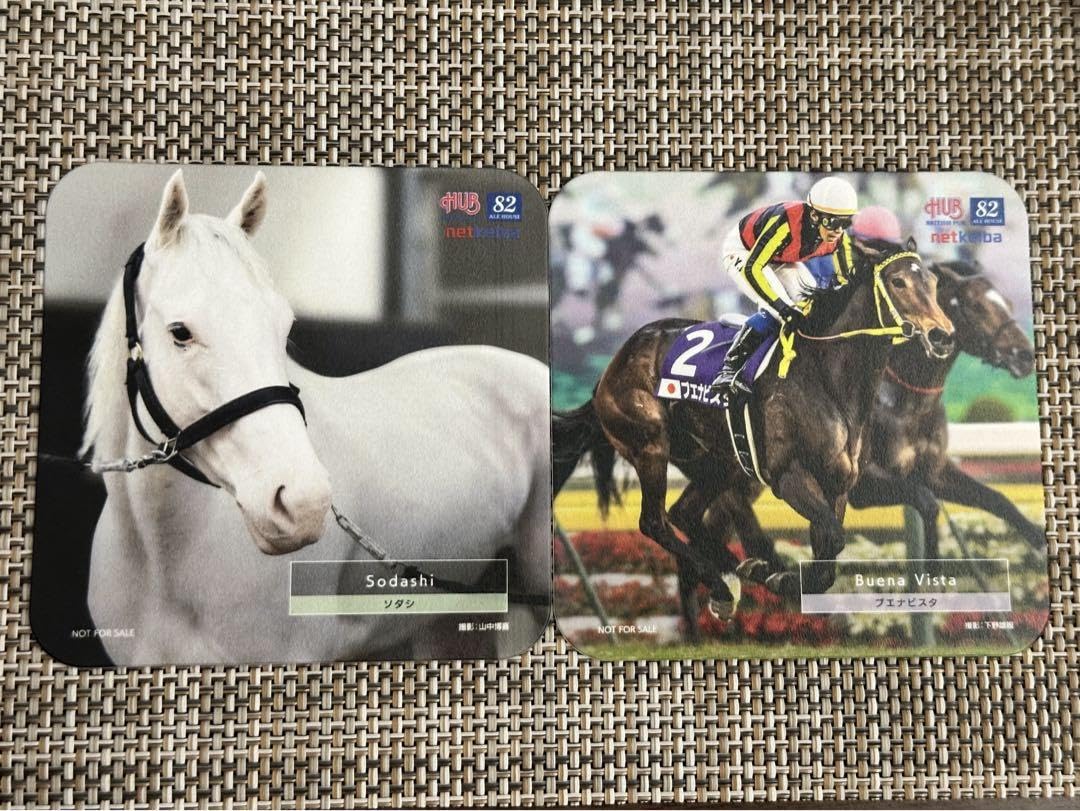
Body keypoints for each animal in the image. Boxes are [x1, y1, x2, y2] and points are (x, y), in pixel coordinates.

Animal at [552, 237, 955, 616]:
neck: (827, 378)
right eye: (898, 281)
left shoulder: (838, 484)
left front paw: (777, 576)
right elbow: (833, 540)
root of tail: (612, 366)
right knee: (655, 522)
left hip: (717, 460)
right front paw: (783, 579)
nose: (943, 335)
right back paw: (723, 584)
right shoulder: (788, 475)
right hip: (649, 444)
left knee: (685, 513)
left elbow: (828, 555)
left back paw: (740, 572)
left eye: (934, 283)